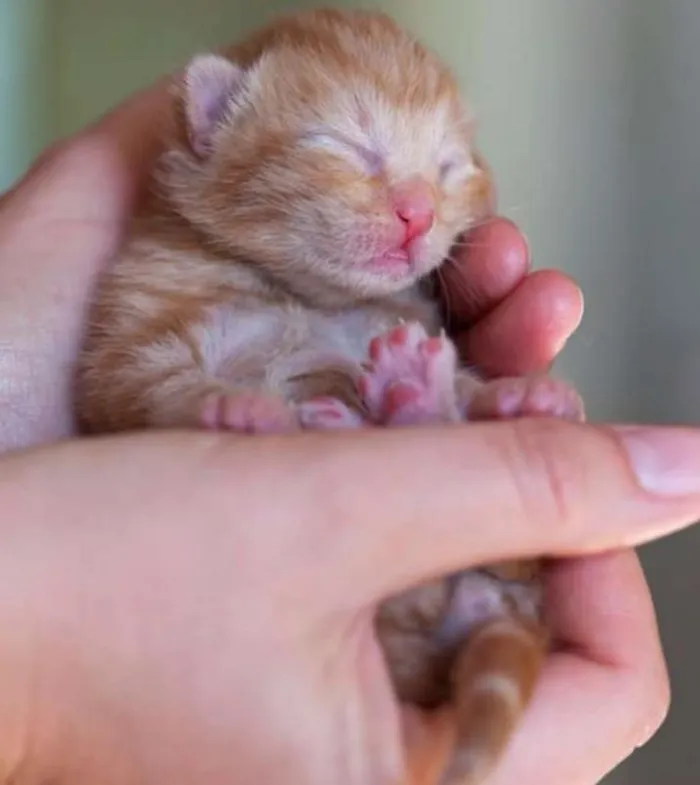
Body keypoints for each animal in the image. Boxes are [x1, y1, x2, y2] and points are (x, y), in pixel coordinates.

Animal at [74, 7, 584, 784]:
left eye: (447, 166)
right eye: (343, 146)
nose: (417, 211)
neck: (296, 293)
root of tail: (502, 611)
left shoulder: (397, 320)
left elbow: (466, 377)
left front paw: (516, 395)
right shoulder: (125, 340)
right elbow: (144, 385)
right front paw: (232, 405)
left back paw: (420, 396)